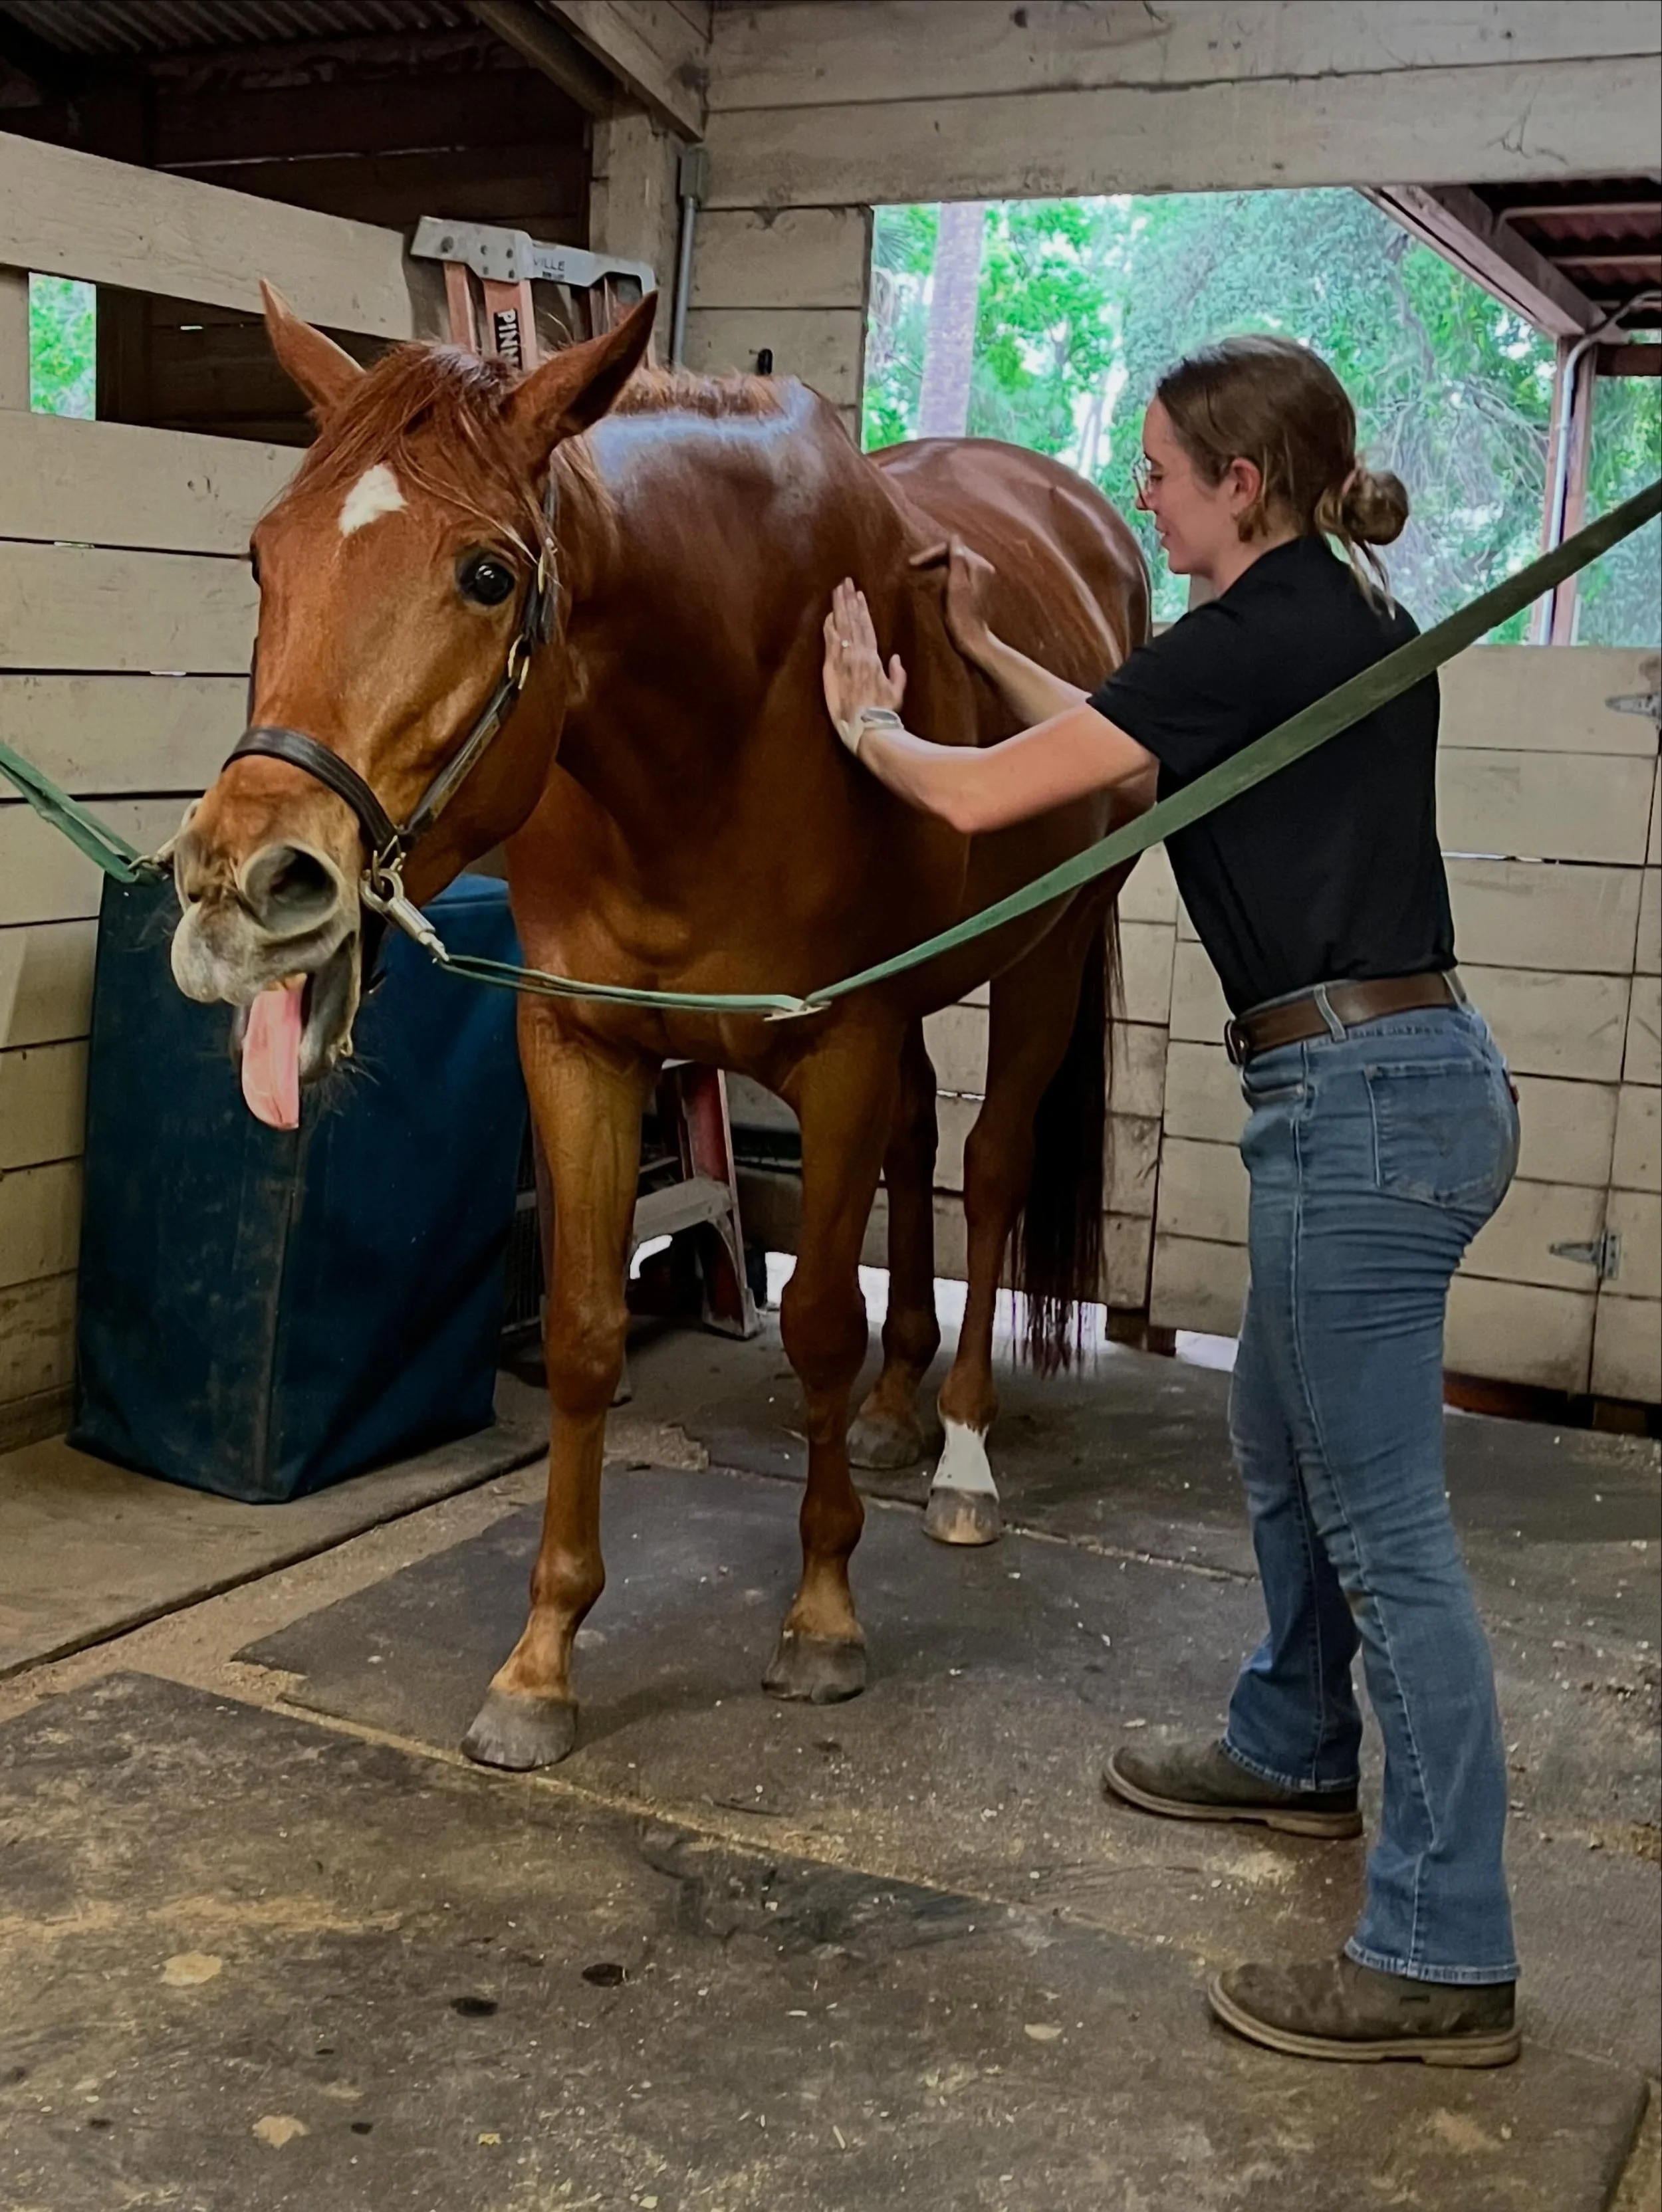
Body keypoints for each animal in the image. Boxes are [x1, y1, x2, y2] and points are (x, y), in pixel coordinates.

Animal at [169, 289, 1150, 1771]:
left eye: (488, 575)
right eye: (263, 554)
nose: (244, 884)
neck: (723, 714)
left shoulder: (841, 1043)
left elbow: (815, 1318)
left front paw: (821, 1614)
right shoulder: (580, 1045)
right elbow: (584, 1328)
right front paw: (542, 1660)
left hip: (1047, 951)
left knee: (987, 1179)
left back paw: (963, 1453)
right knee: (923, 1152)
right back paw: (895, 1409)